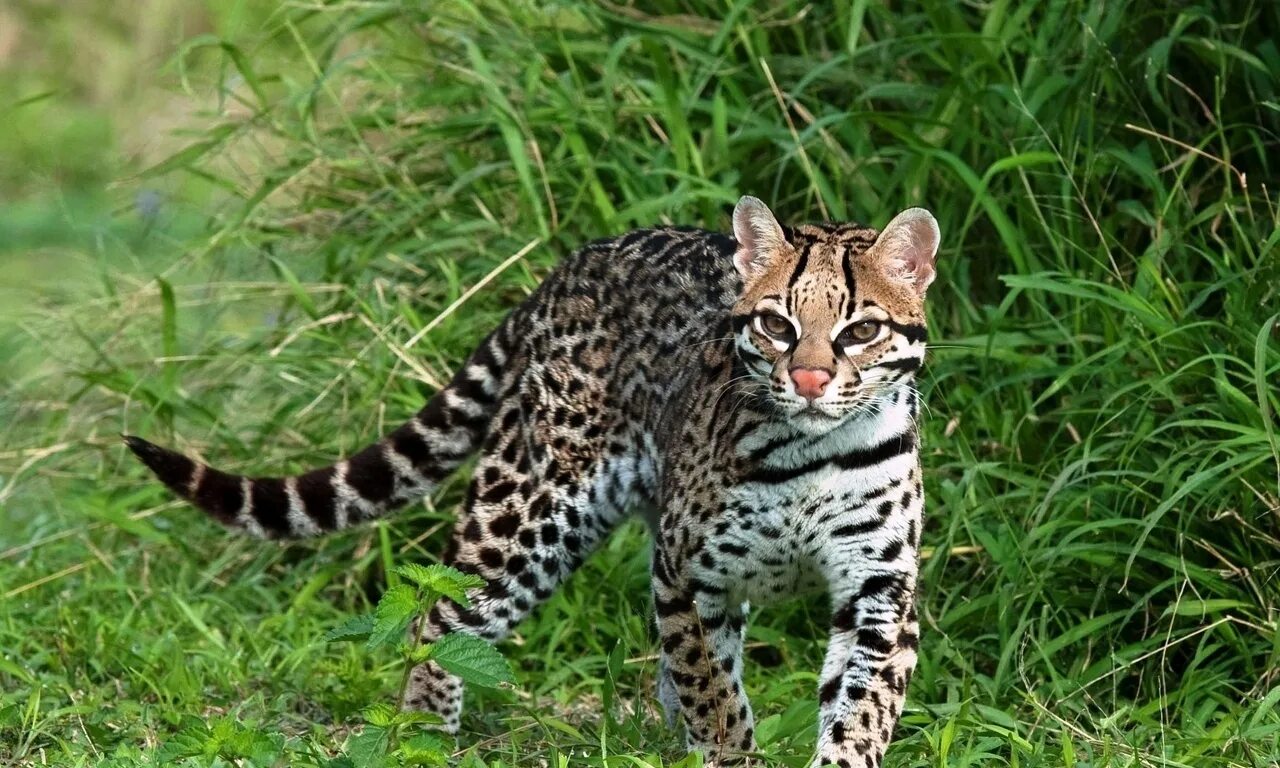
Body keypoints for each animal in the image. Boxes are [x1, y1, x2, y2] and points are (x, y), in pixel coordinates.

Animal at [129, 199, 942, 768]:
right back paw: (425, 734)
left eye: (860, 331)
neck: (814, 451)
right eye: (776, 325)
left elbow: (859, 708)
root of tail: (570, 266)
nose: (807, 380)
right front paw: (729, 751)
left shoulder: (879, 588)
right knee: (439, 619)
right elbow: (715, 695)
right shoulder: (688, 571)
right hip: (528, 509)